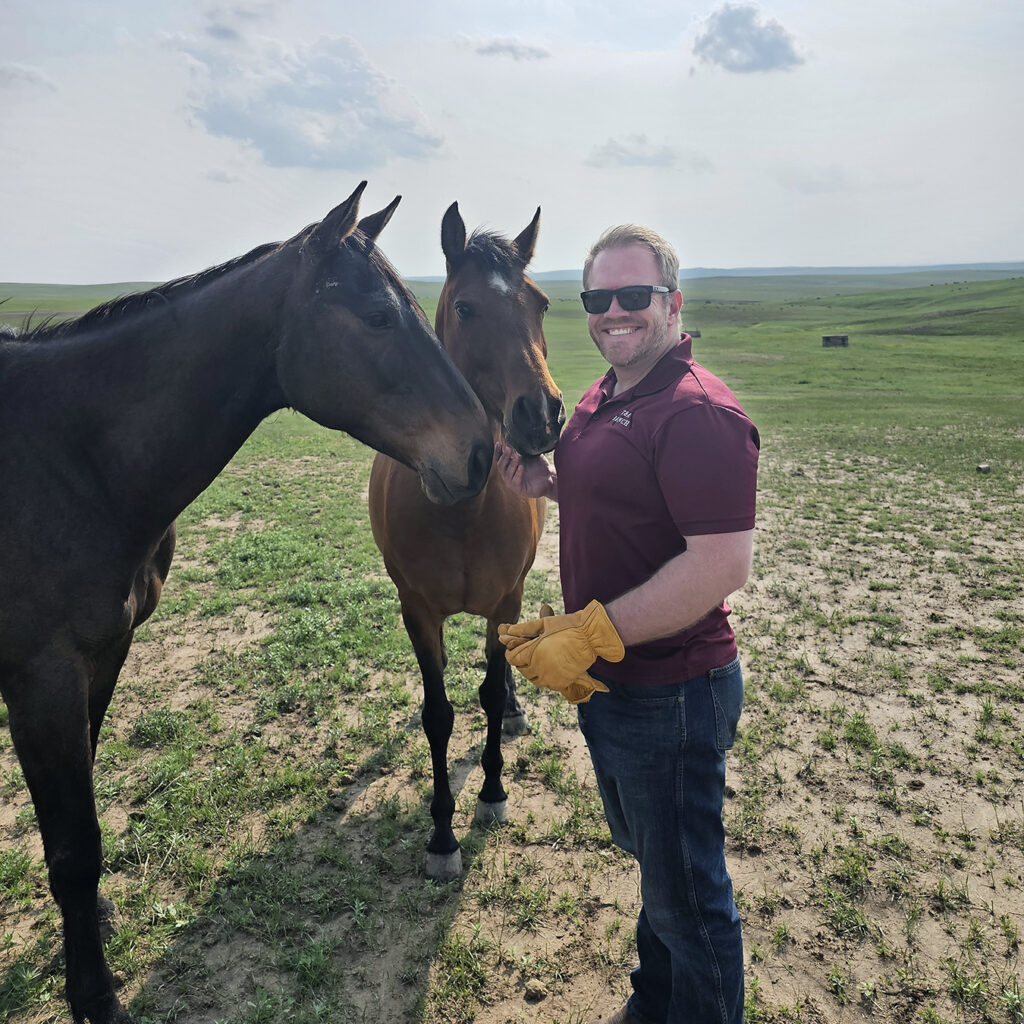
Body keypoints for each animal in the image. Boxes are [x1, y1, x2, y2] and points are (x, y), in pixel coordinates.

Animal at [0, 184, 491, 1024]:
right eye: (378, 317)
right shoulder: (42, 679)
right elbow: (73, 849)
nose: (484, 452)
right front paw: (96, 995)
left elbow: (79, 823)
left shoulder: (101, 657)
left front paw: (89, 931)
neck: (71, 459)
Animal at [368, 201, 565, 880]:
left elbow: (485, 692)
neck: (461, 510)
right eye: (466, 307)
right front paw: (441, 836)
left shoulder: (503, 602)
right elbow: (438, 713)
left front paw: (492, 793)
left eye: (540, 303)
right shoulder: (418, 612)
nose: (542, 415)